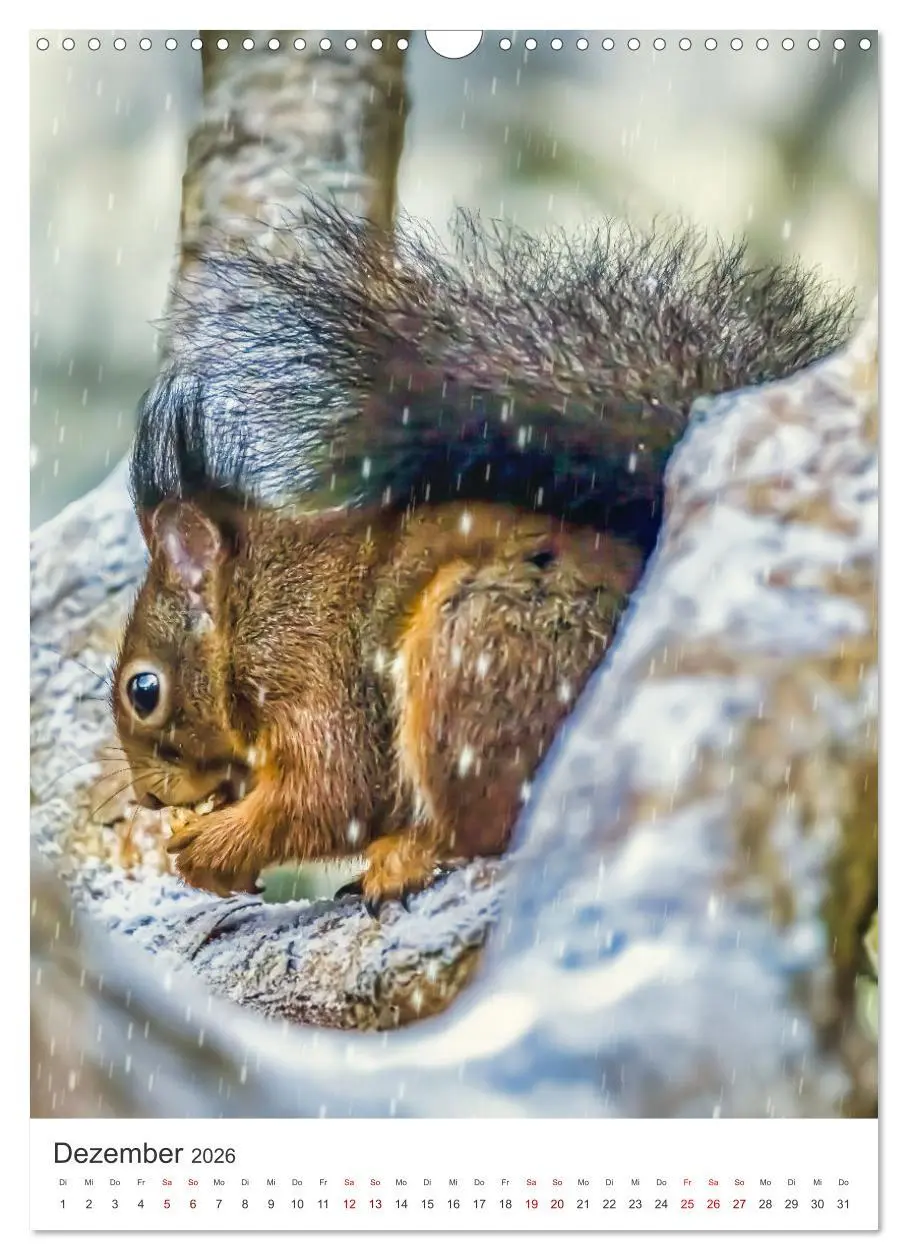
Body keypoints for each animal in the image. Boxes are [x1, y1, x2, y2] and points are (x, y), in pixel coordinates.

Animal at [112, 200, 853, 906]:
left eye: (143, 690)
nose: (147, 796)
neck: (250, 607)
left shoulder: (305, 669)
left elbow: (331, 792)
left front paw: (213, 847)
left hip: (475, 650)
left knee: (483, 829)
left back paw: (408, 856)